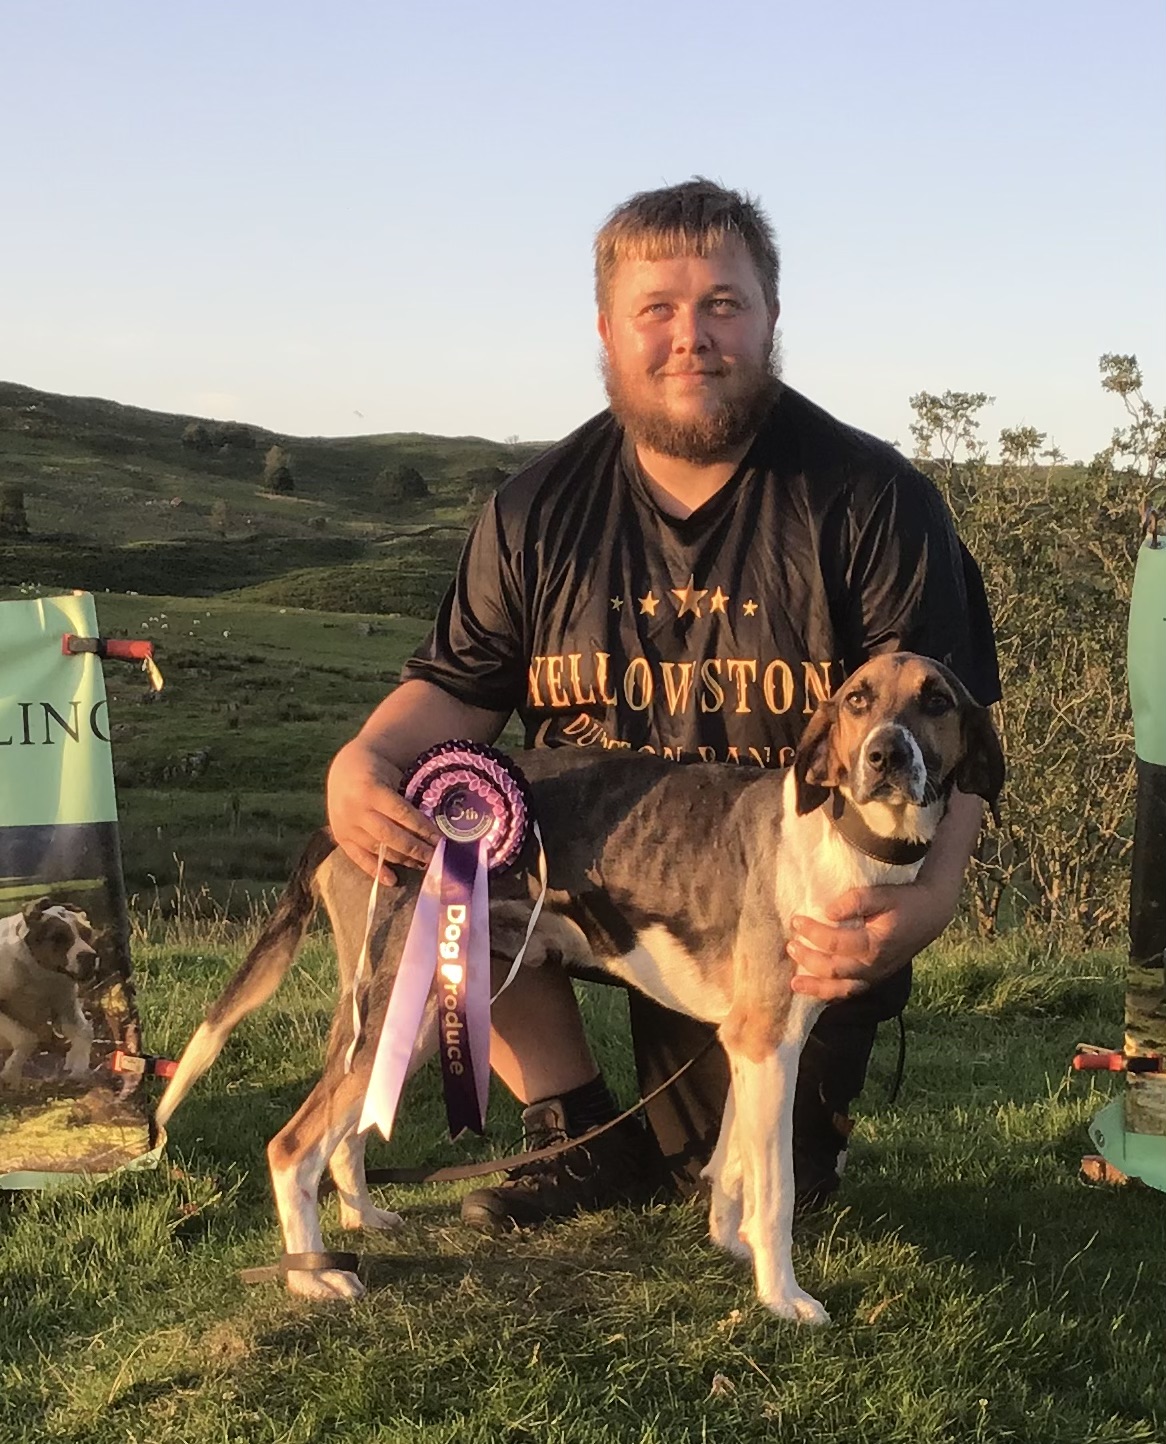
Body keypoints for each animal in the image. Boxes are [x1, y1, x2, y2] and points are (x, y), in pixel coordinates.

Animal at [0, 899, 99, 1083]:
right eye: (57, 937)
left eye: (87, 932)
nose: (89, 956)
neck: (40, 973)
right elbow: (28, 1038)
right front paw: (11, 1072)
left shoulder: (66, 1006)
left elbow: (85, 1031)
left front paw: (78, 1067)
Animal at [156, 652, 1003, 1324]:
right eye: (857, 698)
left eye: (936, 699)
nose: (886, 756)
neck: (841, 833)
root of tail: (351, 820)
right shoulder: (770, 1044)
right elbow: (777, 1191)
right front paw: (782, 1298)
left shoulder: (748, 1047)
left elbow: (731, 1165)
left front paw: (727, 1244)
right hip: (408, 996)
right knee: (293, 1143)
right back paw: (312, 1279)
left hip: (419, 1008)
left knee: (346, 1131)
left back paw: (362, 1217)